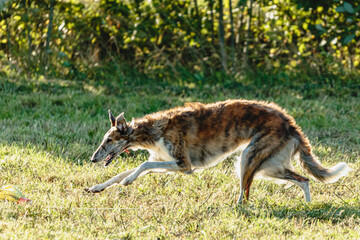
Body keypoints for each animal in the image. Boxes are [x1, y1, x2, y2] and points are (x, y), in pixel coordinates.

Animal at [86, 100, 350, 203]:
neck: (156, 129)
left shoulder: (184, 165)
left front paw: (128, 180)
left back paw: (237, 207)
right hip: (270, 166)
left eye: (109, 140)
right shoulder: (165, 162)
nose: (92, 159)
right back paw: (307, 204)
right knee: (304, 179)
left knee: (245, 195)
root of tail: (291, 123)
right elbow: (121, 173)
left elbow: (141, 166)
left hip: (249, 158)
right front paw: (97, 187)